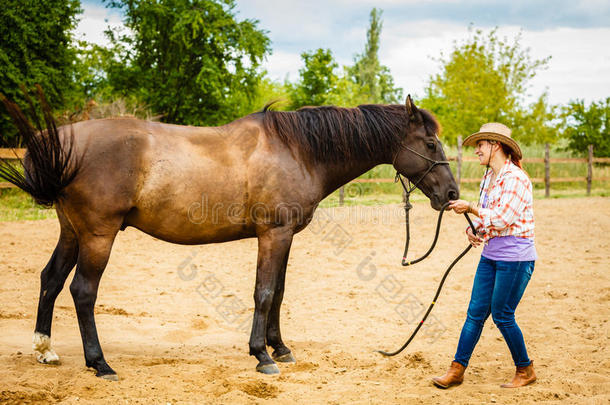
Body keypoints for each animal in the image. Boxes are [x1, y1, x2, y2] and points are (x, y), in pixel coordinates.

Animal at [0, 90, 456, 378]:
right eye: (430, 144)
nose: (451, 194)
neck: (298, 150)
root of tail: (60, 140)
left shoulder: (286, 237)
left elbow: (279, 293)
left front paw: (280, 349)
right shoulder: (274, 234)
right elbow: (264, 292)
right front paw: (261, 356)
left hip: (72, 232)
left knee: (51, 280)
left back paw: (45, 350)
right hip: (98, 235)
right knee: (82, 291)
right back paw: (100, 364)